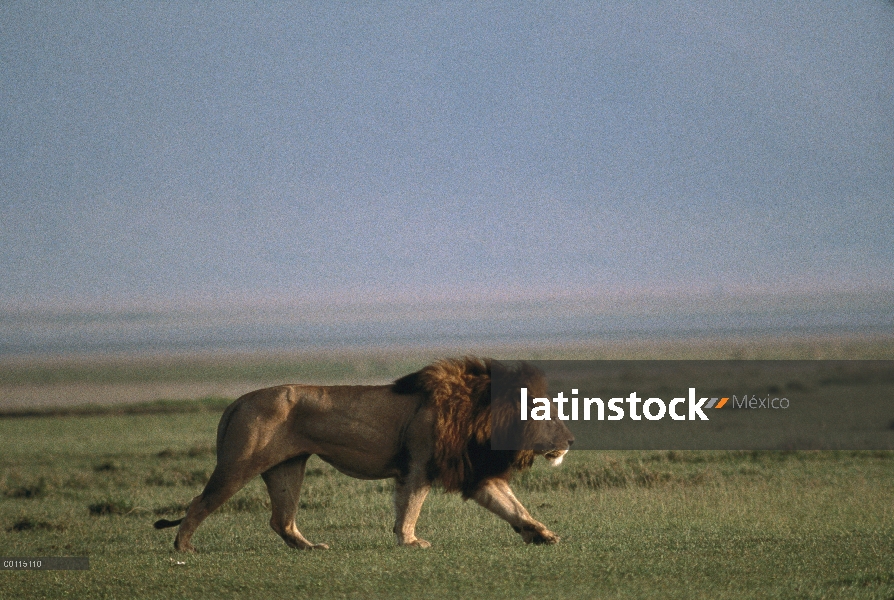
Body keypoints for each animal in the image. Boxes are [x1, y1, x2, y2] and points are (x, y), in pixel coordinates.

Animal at [154, 358, 576, 552]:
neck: (481, 415)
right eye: (545, 413)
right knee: (198, 502)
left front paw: (542, 534)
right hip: (240, 463)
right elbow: (411, 506)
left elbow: (514, 507)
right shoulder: (419, 464)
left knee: (280, 520)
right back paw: (183, 548)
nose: (571, 440)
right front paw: (410, 542)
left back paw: (310, 549)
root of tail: (238, 400)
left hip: (287, 467)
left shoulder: (475, 472)